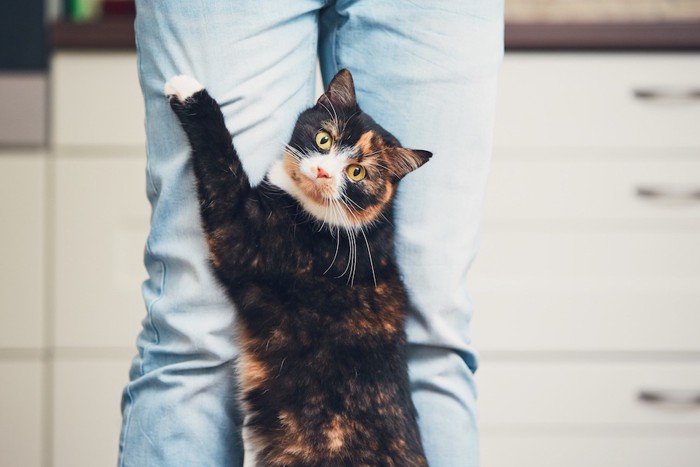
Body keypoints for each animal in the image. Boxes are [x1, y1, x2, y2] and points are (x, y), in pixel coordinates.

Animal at [166, 69, 430, 467]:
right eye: (324, 138)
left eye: (357, 172)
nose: (323, 171)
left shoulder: (242, 237)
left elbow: (222, 161)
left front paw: (190, 92)